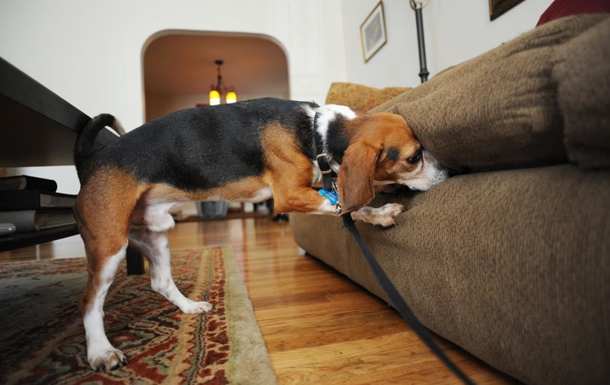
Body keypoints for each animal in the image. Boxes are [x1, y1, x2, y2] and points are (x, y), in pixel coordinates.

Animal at [75, 97, 446, 368]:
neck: (314, 133)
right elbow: (347, 205)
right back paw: (101, 352)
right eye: (414, 157)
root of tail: (89, 162)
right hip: (110, 247)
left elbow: (347, 203)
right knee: (90, 302)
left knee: (160, 282)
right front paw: (380, 213)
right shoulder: (290, 195)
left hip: (154, 234)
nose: (448, 171)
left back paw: (190, 307)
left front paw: (380, 207)